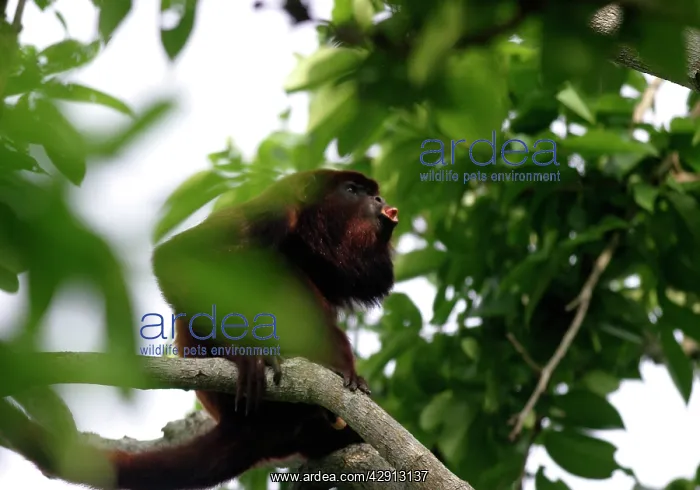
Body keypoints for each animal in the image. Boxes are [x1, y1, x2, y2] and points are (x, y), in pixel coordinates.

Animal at [96, 169, 399, 489]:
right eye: (352, 190)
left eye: (373, 192)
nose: (380, 200)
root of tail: (239, 427)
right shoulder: (270, 213)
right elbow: (176, 257)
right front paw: (244, 356)